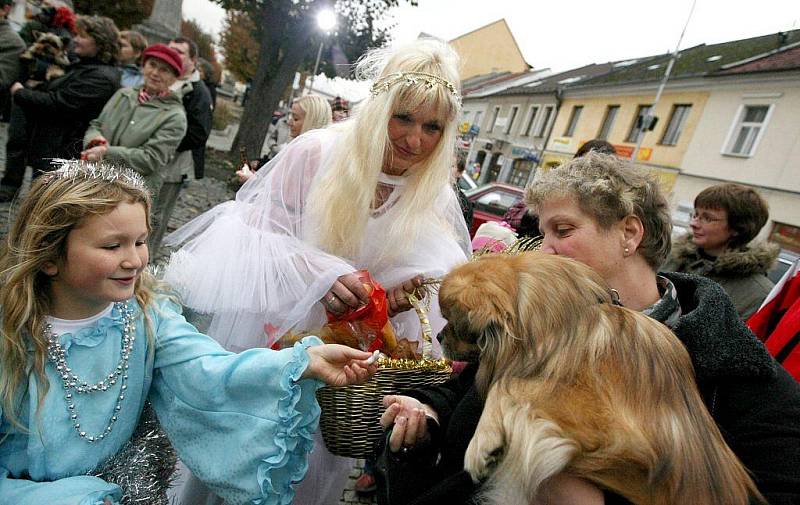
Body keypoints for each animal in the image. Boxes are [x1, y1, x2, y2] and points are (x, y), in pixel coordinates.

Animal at [438, 252, 764, 504]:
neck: (570, 324)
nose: (440, 335)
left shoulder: (605, 429)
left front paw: (483, 445)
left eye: (454, 324)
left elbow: (507, 385)